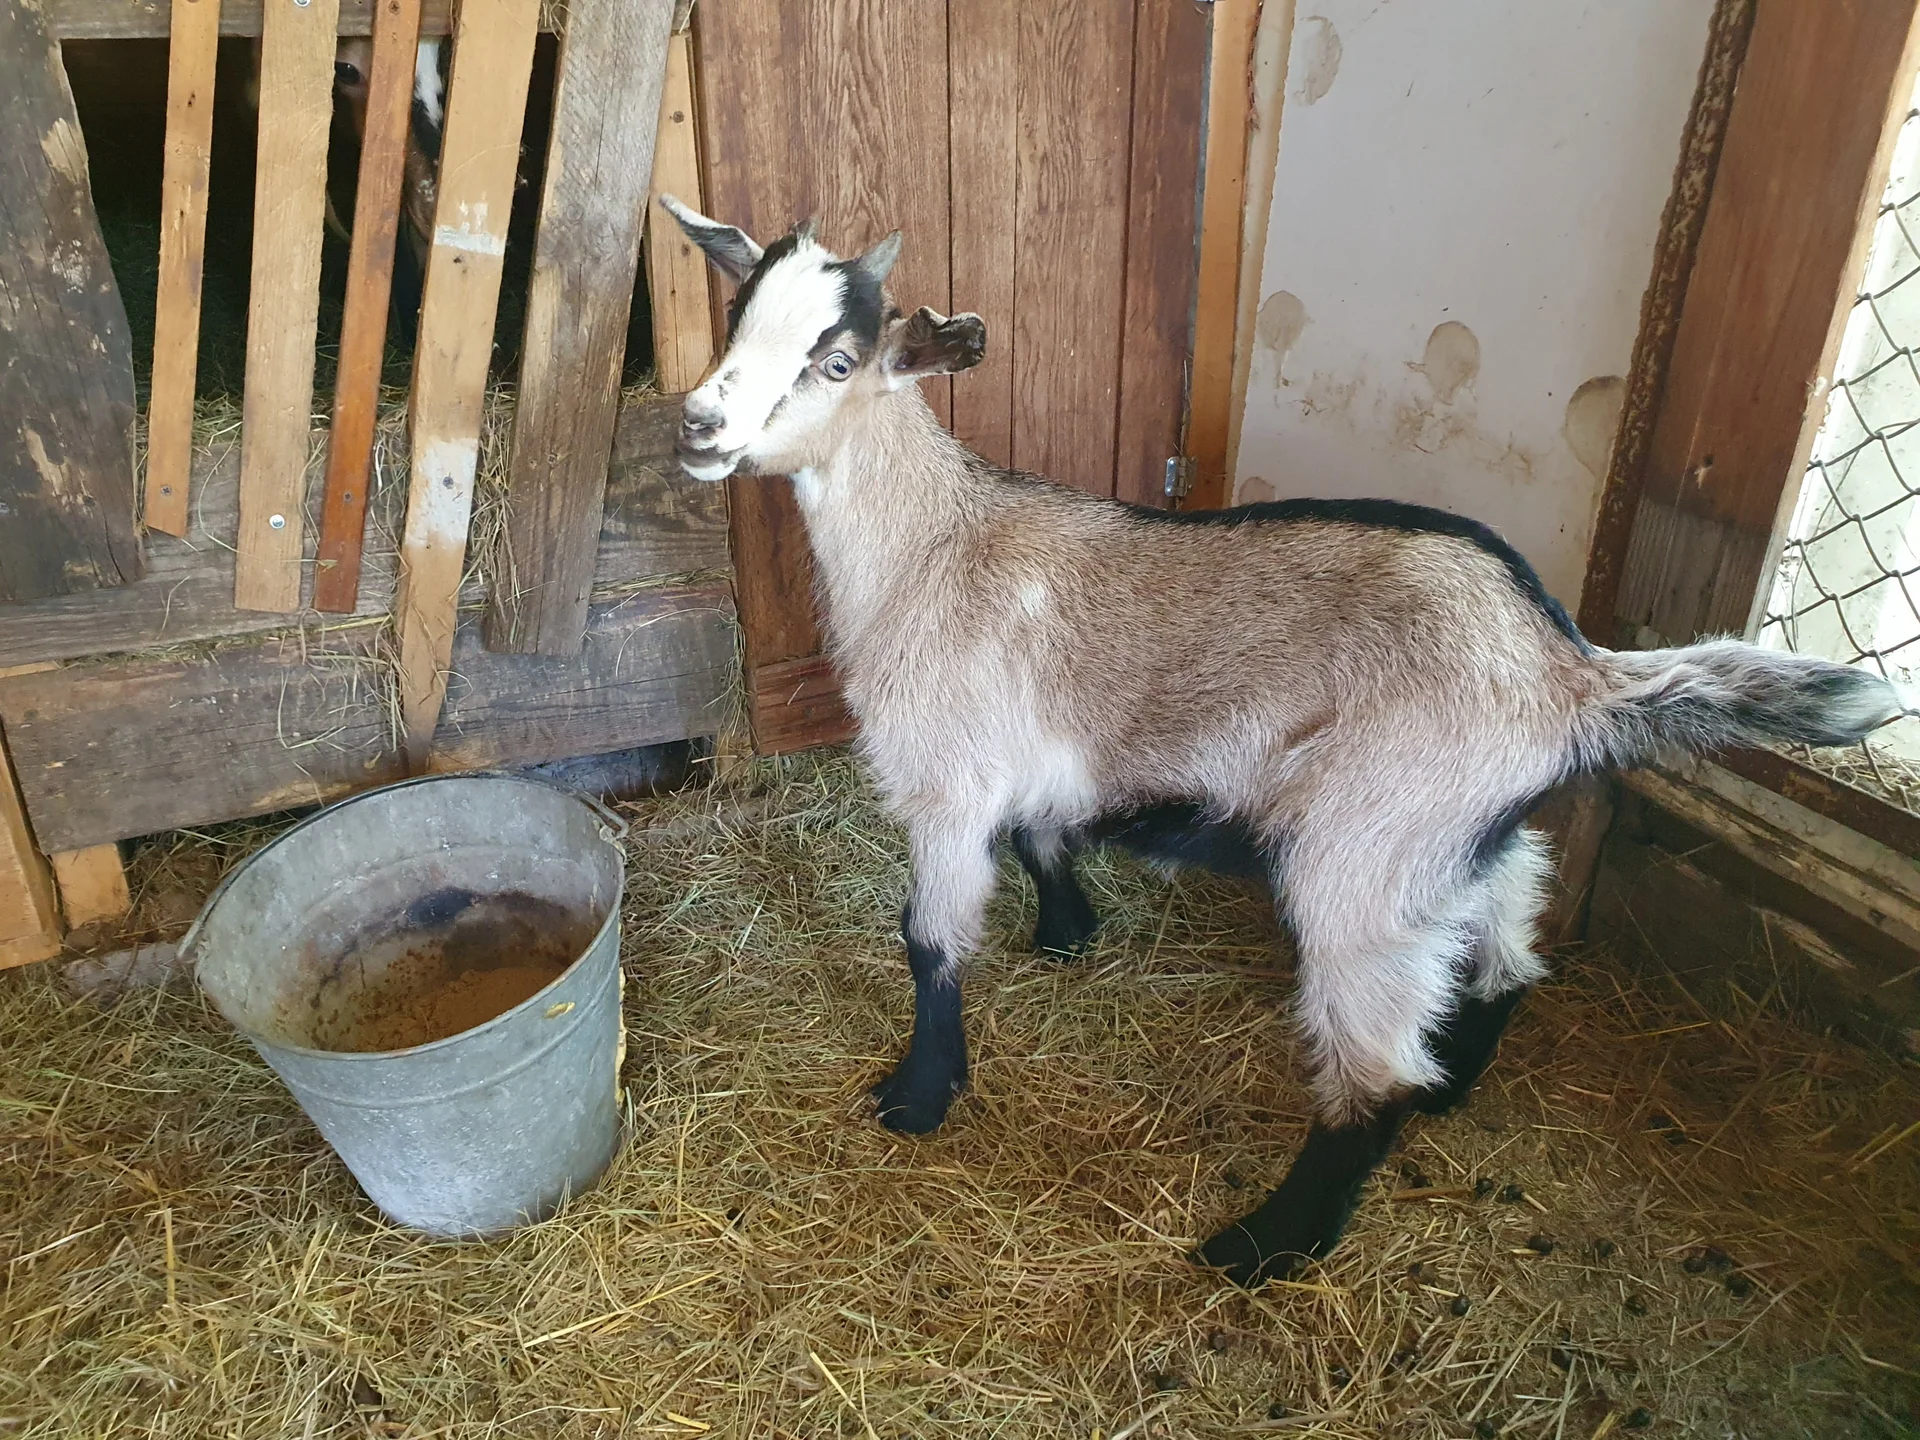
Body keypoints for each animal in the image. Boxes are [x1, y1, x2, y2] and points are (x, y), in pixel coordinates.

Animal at [658, 197, 1905, 1285]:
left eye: (835, 361)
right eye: (736, 319)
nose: (698, 425)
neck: (935, 544)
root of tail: (1568, 673)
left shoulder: (946, 780)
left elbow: (929, 941)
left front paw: (918, 1098)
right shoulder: (1032, 759)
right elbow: (1046, 833)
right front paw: (1068, 932)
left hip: (1366, 847)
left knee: (1374, 1067)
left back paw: (1269, 1243)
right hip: (1452, 833)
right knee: (1511, 925)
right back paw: (1458, 1075)